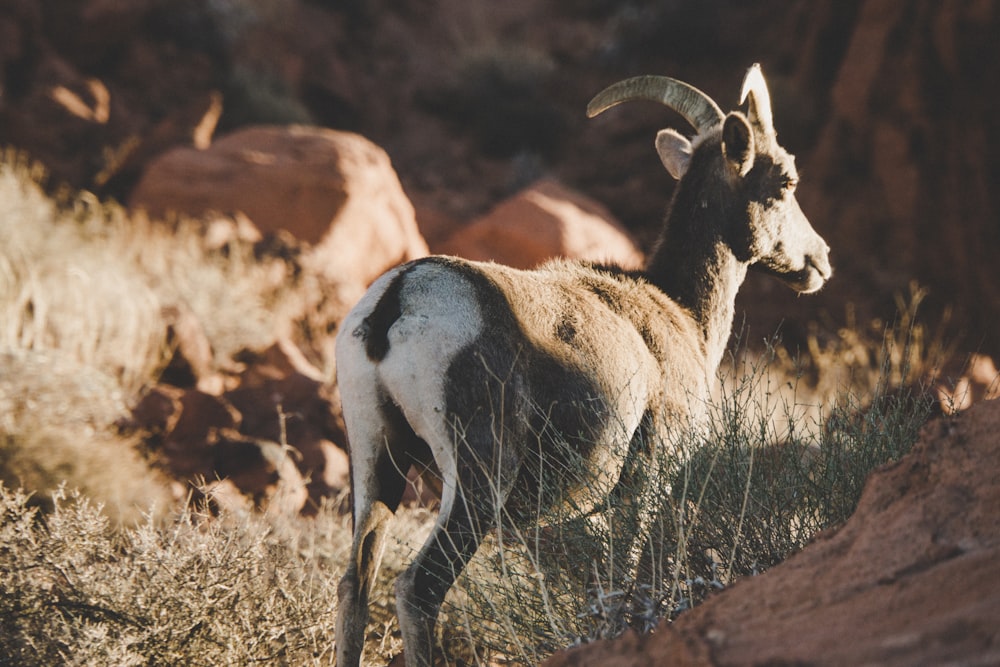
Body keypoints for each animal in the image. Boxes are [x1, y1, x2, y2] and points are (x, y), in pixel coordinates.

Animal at [334, 64, 828, 667]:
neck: (680, 311)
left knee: (355, 585)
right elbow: (627, 582)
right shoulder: (648, 477)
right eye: (785, 181)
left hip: (376, 458)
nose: (820, 260)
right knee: (418, 587)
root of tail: (400, 299)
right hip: (477, 480)